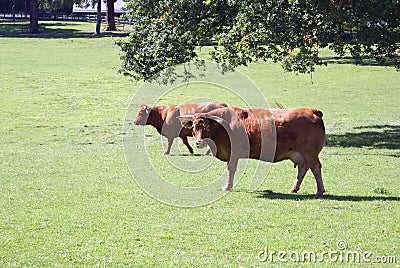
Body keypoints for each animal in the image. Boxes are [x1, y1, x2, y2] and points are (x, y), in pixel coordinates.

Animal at [180, 105, 326, 196]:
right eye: (194, 127)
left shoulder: (233, 154)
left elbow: (231, 169)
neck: (223, 126)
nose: (199, 142)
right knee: (303, 169)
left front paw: (227, 186)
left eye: (208, 127)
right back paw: (294, 188)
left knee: (315, 168)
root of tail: (314, 111)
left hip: (310, 154)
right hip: (302, 155)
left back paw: (319, 191)